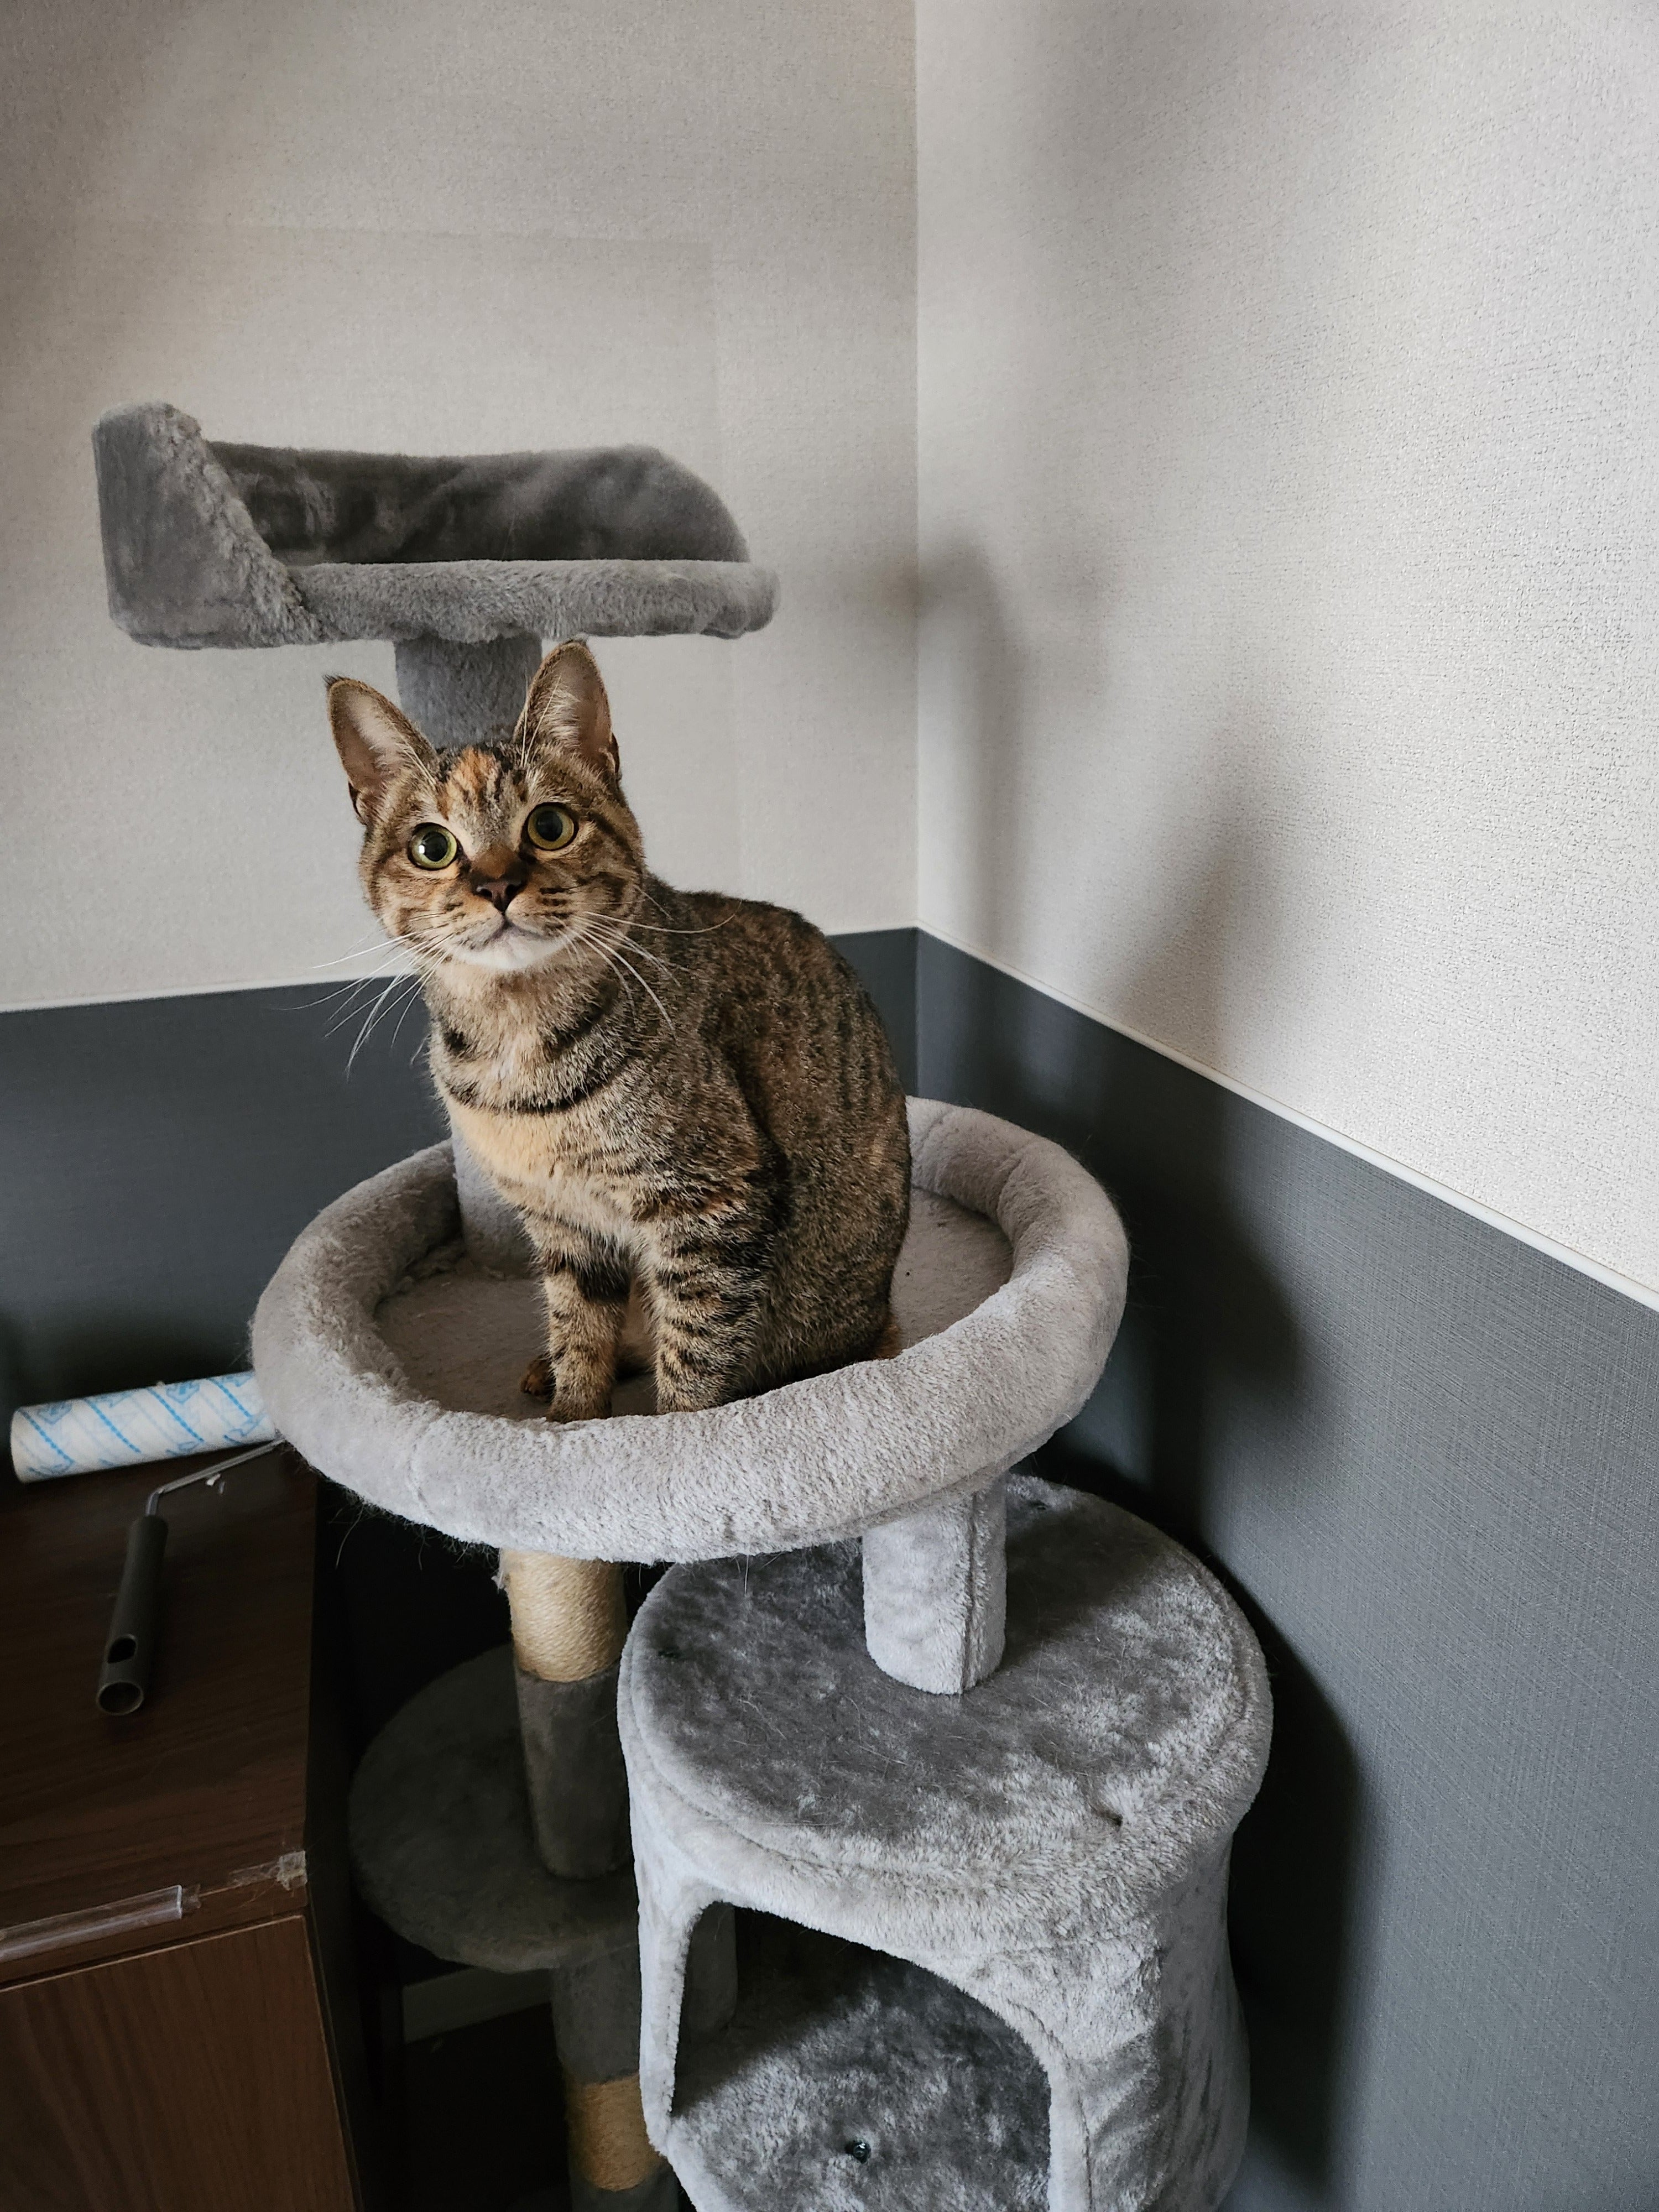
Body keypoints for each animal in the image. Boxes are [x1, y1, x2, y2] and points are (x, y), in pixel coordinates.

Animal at [327, 640, 911, 1420]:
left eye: (549, 826)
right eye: (432, 846)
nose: (495, 885)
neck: (517, 1042)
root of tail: (883, 1319)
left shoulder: (710, 1207)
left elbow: (693, 1362)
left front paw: (666, 1437)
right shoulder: (565, 1226)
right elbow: (580, 1328)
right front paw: (570, 1419)